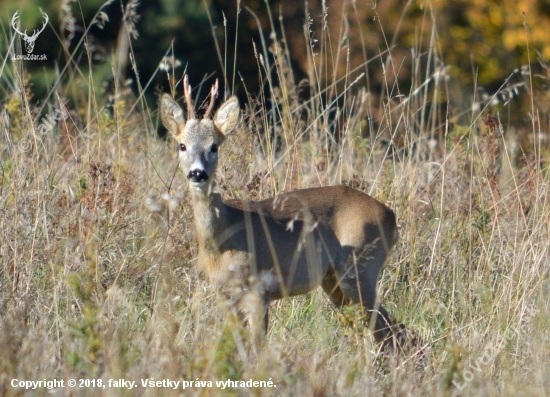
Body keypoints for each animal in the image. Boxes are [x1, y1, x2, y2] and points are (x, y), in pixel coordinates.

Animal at [160, 76, 422, 354]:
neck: (222, 239)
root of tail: (391, 217)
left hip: (360, 267)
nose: (197, 173)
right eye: (182, 145)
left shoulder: (259, 288)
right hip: (334, 281)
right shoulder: (225, 294)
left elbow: (257, 345)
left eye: (214, 147)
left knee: (392, 331)